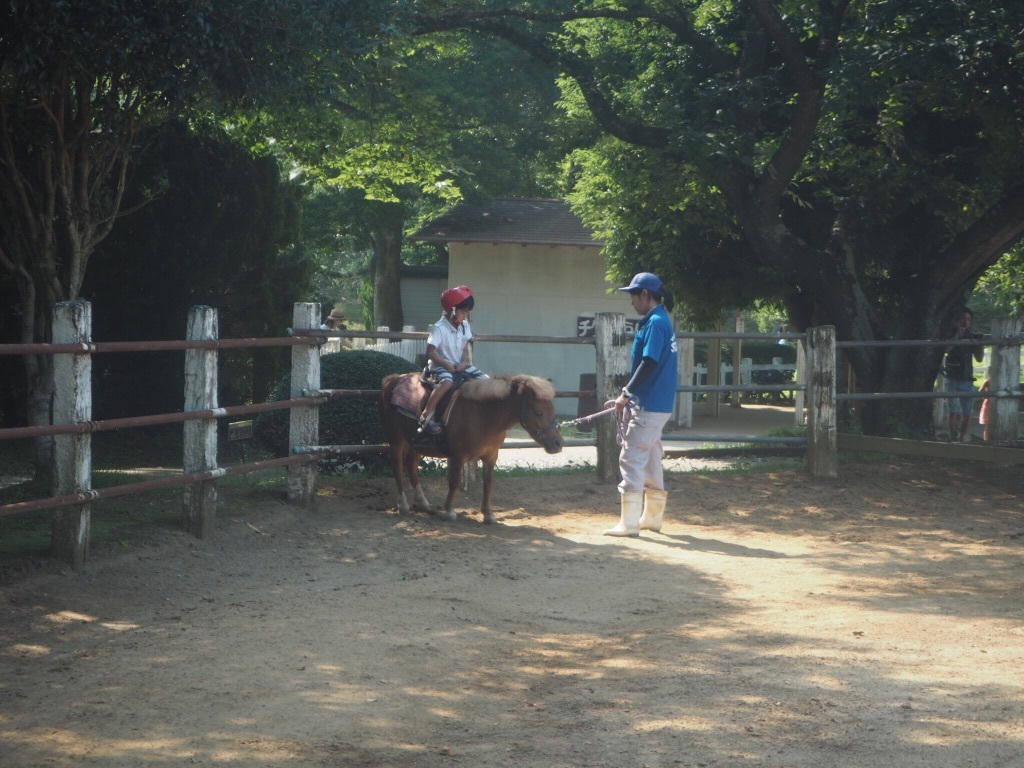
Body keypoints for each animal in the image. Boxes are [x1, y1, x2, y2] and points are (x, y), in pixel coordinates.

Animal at [378, 373, 564, 523]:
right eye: (538, 412)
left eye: (553, 410)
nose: (558, 444)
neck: (484, 415)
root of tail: (393, 379)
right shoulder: (458, 456)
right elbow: (453, 482)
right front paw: (449, 511)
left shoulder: (491, 457)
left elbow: (488, 484)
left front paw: (488, 514)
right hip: (397, 440)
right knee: (397, 466)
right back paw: (403, 504)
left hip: (414, 444)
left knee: (411, 466)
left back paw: (423, 503)